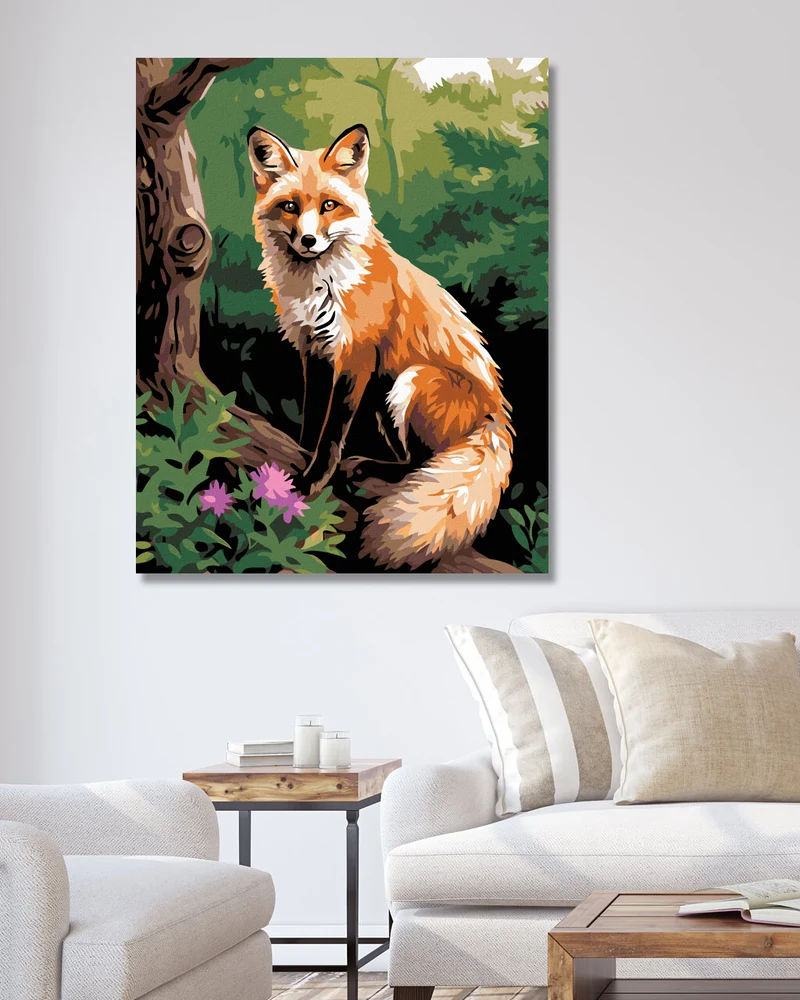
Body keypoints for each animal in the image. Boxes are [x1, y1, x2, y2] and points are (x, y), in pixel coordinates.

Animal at [247, 122, 513, 570]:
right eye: (290, 206)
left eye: (329, 205)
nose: (308, 239)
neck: (320, 285)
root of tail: (497, 415)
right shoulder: (314, 352)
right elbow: (312, 419)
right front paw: (299, 455)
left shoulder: (355, 357)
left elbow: (332, 434)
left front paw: (313, 480)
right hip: (381, 392)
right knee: (408, 459)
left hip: (410, 380)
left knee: (420, 463)